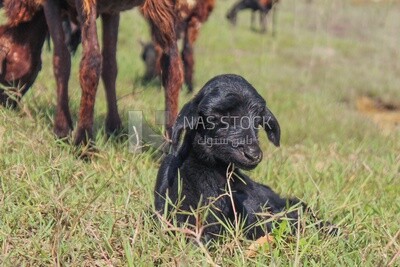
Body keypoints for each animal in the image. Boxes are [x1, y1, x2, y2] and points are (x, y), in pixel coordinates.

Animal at [3, 0, 184, 146]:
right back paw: (170, 145)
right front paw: (115, 130)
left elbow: (61, 60)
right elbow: (110, 65)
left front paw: (62, 131)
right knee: (173, 62)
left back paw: (84, 142)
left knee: (91, 59)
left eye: (3, 63)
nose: (5, 105)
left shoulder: (50, 4)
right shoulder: (112, 11)